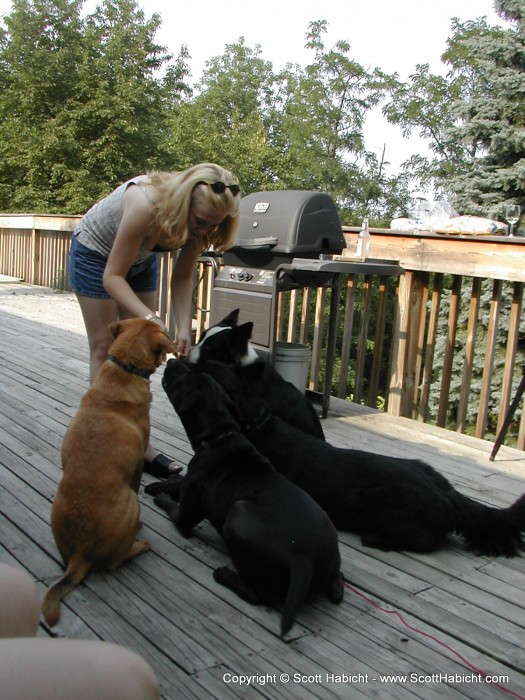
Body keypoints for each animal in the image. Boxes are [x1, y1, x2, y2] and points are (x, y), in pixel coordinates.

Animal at [42, 318, 175, 624]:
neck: (123, 369)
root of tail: (79, 557)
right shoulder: (138, 465)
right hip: (133, 503)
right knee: (117, 560)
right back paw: (141, 544)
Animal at [148, 358, 344, 636]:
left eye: (185, 377)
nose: (174, 360)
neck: (220, 436)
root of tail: (303, 560)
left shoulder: (186, 514)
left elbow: (174, 508)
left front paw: (161, 494)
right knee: (337, 587)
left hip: (237, 514)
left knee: (255, 594)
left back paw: (225, 575)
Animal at [190, 360, 524, 556]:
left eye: (206, 373)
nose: (185, 359)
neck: (254, 423)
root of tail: (449, 498)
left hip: (379, 505)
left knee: (425, 541)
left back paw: (376, 539)